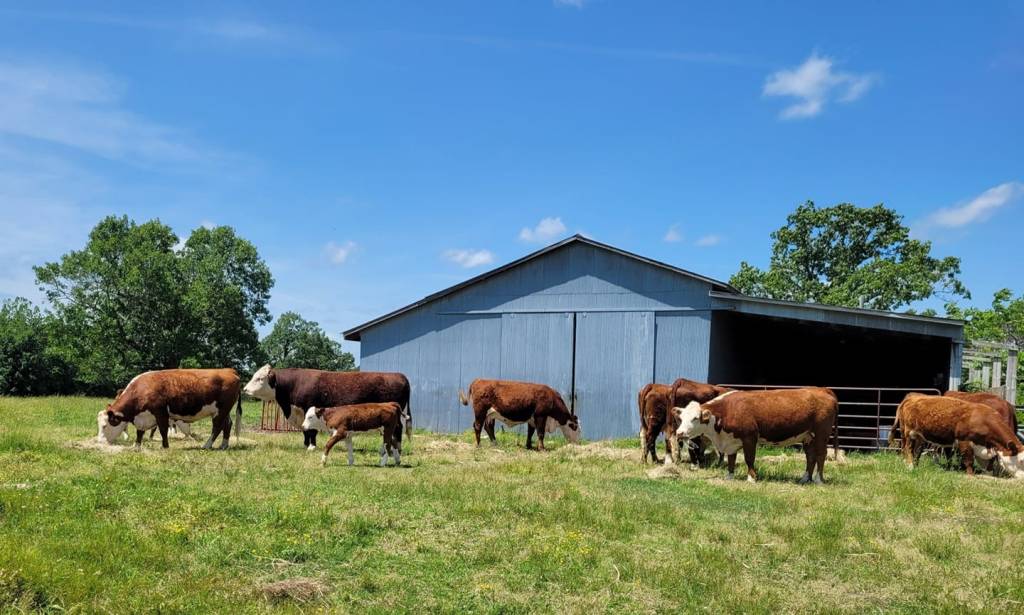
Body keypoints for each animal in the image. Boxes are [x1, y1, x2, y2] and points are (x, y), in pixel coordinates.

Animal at [100, 368, 242, 450]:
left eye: (105, 426)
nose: (100, 441)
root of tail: (229, 370)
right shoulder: (143, 417)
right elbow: (140, 432)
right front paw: (136, 446)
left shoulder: (161, 412)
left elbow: (163, 430)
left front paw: (165, 446)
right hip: (223, 411)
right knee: (227, 424)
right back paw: (224, 445)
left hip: (221, 411)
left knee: (217, 427)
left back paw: (207, 446)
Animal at [242, 365, 411, 451]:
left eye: (259, 378)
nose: (244, 389)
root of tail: (400, 375)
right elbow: (306, 430)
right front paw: (306, 445)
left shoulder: (310, 410)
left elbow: (311, 430)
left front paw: (311, 446)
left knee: (398, 429)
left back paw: (397, 447)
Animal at [675, 388, 838, 484]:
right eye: (681, 418)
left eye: (695, 418)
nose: (679, 433)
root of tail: (821, 389)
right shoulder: (730, 441)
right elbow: (731, 459)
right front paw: (730, 476)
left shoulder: (750, 437)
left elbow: (749, 458)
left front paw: (751, 478)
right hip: (807, 436)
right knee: (810, 456)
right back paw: (805, 478)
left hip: (821, 433)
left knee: (821, 455)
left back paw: (818, 479)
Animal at [888, 393, 1024, 478]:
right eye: (1021, 461)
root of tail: (911, 398)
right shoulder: (964, 440)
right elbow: (968, 459)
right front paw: (971, 474)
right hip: (907, 432)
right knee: (907, 448)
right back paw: (910, 466)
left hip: (919, 436)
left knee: (917, 450)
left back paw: (915, 465)